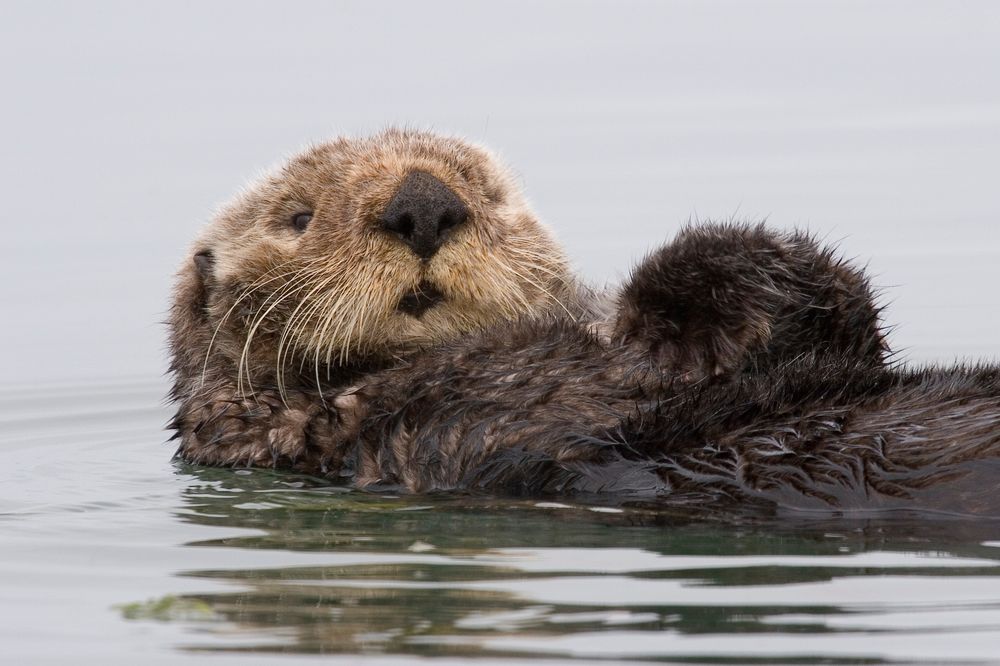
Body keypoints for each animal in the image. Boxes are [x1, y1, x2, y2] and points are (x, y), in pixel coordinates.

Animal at [169, 129, 1000, 517]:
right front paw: (668, 330)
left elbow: (840, 311)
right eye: (297, 218)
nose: (423, 204)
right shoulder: (448, 426)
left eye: (493, 196)